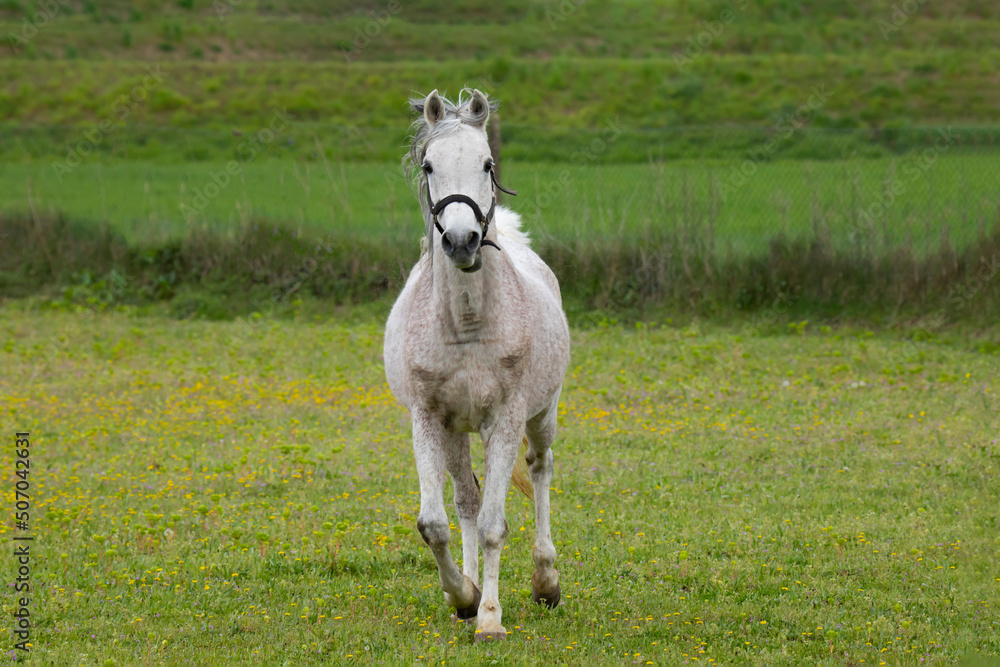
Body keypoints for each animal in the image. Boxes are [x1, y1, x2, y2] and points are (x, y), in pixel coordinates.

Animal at [383, 89, 571, 642]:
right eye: (429, 165)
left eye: (488, 164)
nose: (463, 240)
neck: (466, 324)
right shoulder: (429, 420)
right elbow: (435, 522)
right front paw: (463, 597)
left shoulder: (504, 421)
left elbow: (493, 525)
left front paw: (489, 619)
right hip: (455, 432)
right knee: (466, 499)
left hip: (542, 415)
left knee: (541, 470)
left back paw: (545, 581)